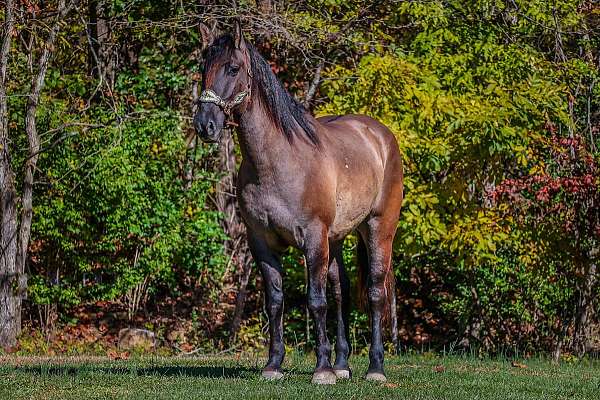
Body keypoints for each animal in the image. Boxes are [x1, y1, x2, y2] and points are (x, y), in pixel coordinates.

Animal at [195, 22, 404, 384]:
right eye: (202, 68)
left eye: (232, 68)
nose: (205, 125)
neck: (278, 161)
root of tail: (380, 136)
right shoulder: (261, 243)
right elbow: (275, 301)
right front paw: (274, 365)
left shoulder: (313, 239)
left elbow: (315, 301)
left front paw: (321, 371)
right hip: (336, 239)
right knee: (342, 292)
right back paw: (343, 365)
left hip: (378, 229)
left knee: (376, 293)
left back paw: (375, 369)